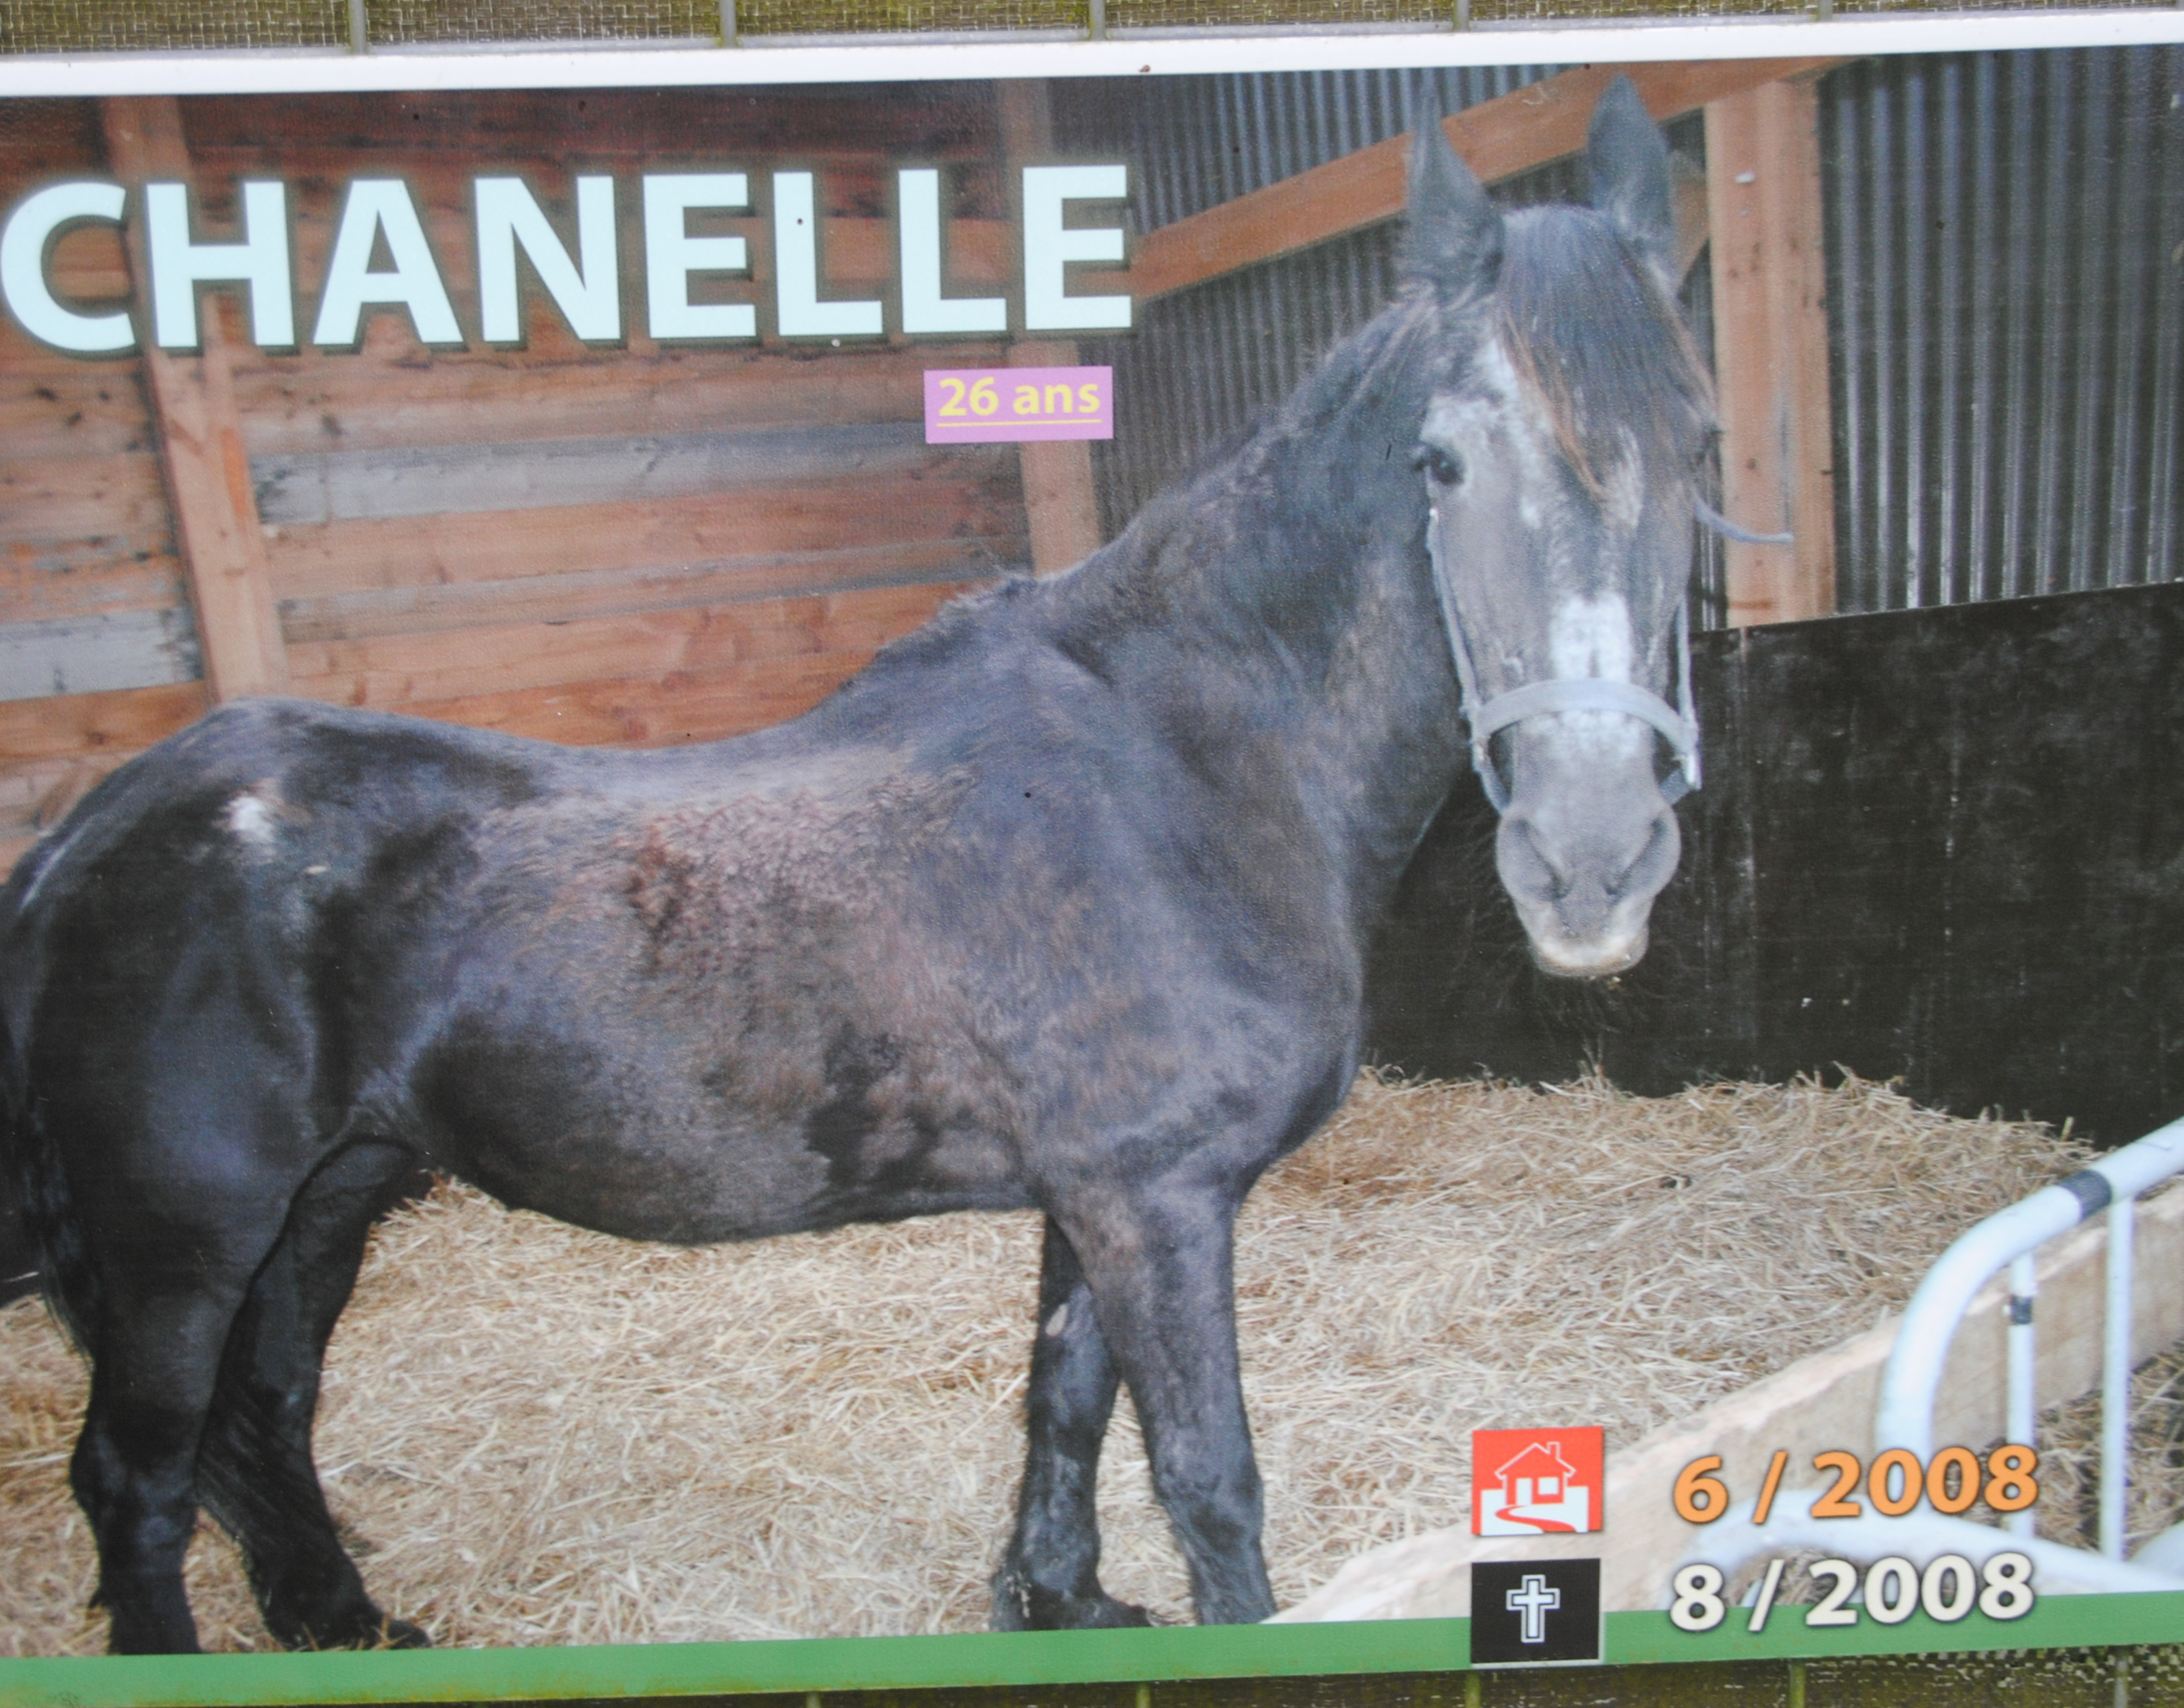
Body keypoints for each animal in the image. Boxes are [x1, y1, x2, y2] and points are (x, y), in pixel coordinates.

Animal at [1, 78, 1717, 1654]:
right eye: (1439, 463)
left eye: (1696, 443)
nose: (1590, 857)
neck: (1185, 765)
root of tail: (92, 829)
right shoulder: (1161, 1200)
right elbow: (1208, 1478)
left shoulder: (1098, 1194)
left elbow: (1062, 1401)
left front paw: (1054, 1600)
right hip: (181, 1250)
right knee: (140, 1485)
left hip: (323, 1209)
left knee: (268, 1421)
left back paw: (345, 1622)